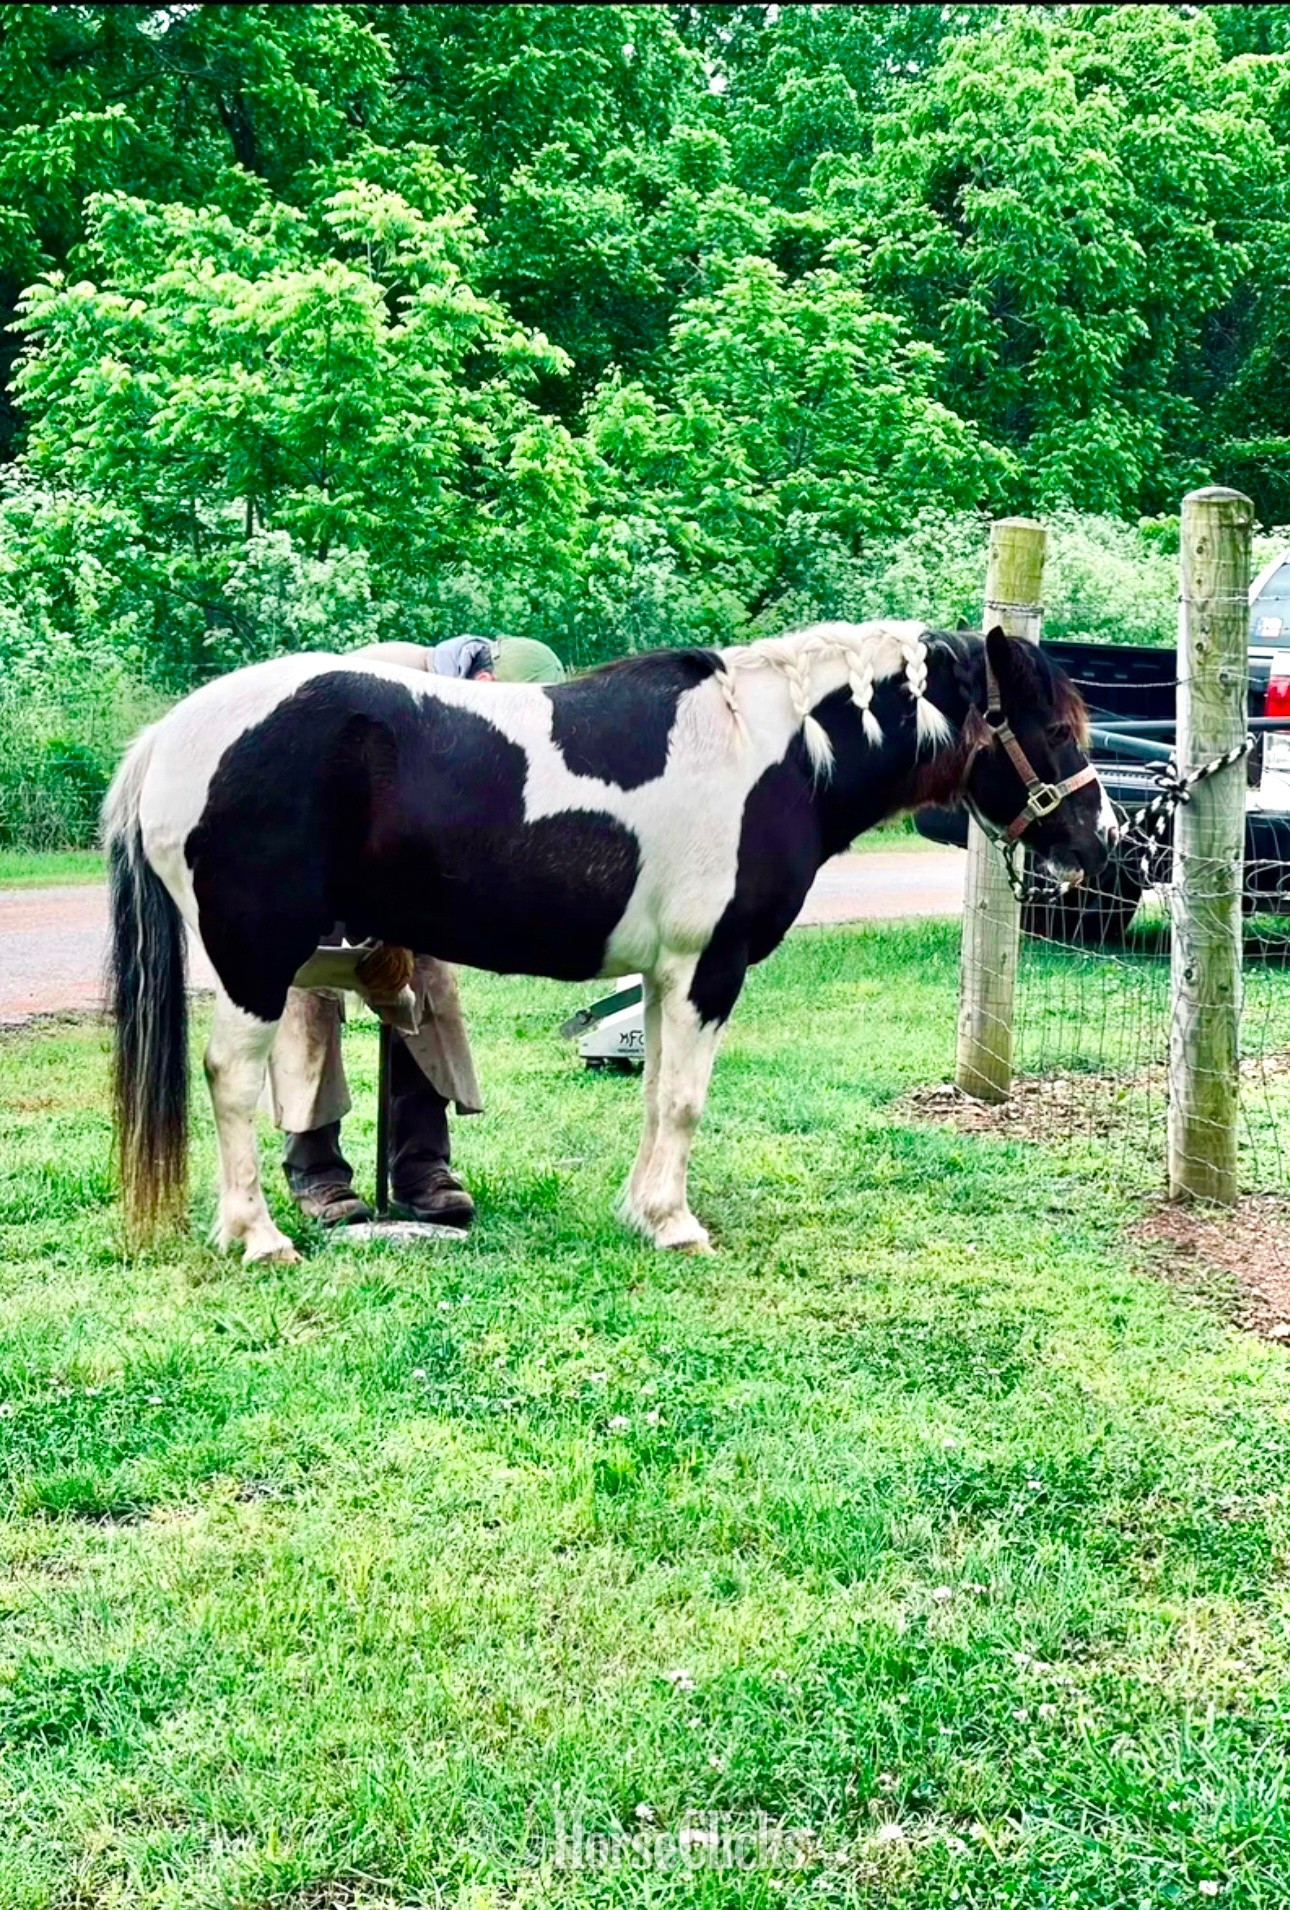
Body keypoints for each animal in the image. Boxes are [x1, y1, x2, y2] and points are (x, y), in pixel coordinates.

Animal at [103, 620, 1114, 1262]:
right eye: (1053, 728)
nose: (1103, 843)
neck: (774, 755)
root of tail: (170, 735)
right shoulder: (710, 971)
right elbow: (685, 1102)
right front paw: (676, 1225)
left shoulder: (668, 978)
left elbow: (657, 1092)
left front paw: (643, 1210)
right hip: (256, 960)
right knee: (235, 1081)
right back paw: (258, 1237)